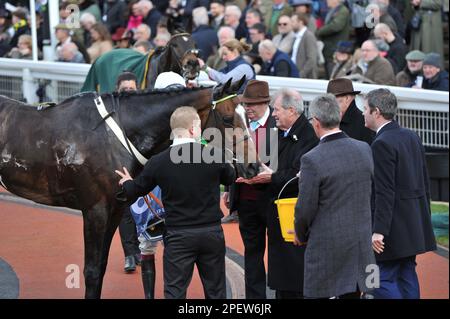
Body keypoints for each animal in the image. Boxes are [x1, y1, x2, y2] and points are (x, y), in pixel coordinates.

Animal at [0, 79, 258, 298]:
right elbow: (92, 271)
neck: (111, 135)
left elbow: (101, 266)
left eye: (248, 118)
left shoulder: (115, 208)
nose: (253, 166)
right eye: (227, 119)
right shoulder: (95, 210)